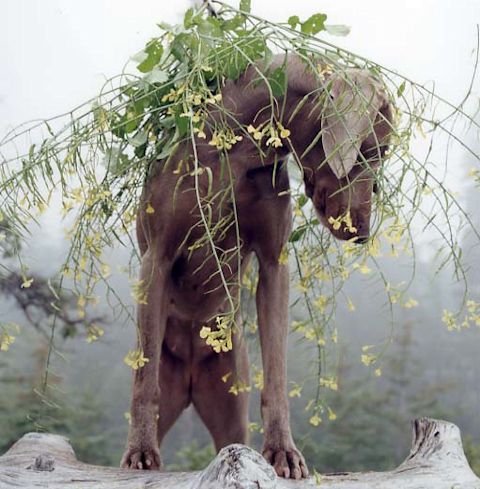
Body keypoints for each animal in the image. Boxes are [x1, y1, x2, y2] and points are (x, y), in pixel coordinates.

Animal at [121, 53, 394, 476]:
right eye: (375, 150)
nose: (364, 232)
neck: (239, 143)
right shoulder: (157, 258)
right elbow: (144, 378)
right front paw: (141, 450)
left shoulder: (273, 264)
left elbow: (277, 371)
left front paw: (283, 450)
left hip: (231, 398)